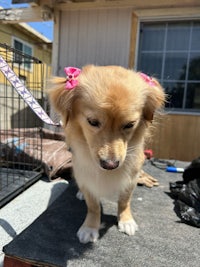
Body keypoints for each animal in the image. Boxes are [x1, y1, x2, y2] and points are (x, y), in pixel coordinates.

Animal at [47, 65, 165, 245]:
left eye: (130, 124)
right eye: (93, 122)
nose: (110, 165)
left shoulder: (131, 178)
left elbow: (124, 201)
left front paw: (126, 220)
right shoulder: (86, 176)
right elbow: (93, 207)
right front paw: (90, 227)